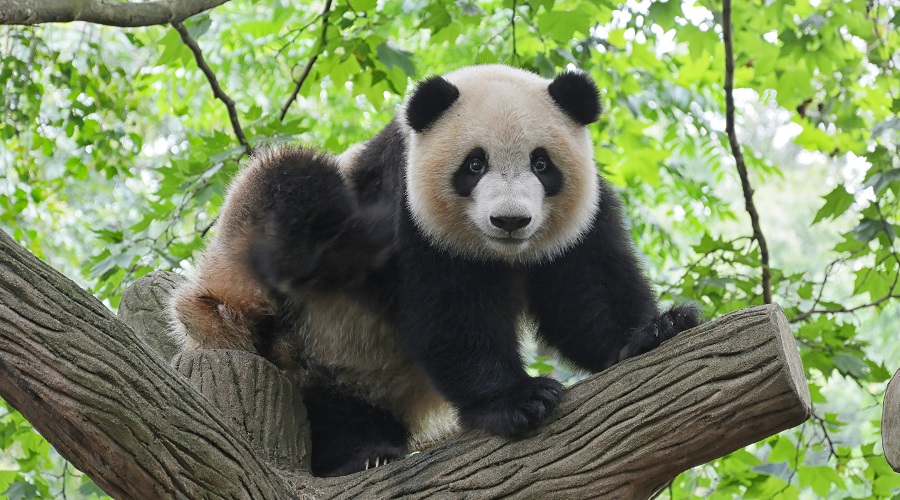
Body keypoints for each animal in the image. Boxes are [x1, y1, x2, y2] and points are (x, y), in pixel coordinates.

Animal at [169, 64, 702, 477]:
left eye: (542, 163)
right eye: (474, 165)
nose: (511, 221)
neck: (501, 254)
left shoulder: (579, 221)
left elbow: (586, 295)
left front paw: (654, 330)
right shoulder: (409, 214)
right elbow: (450, 313)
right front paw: (518, 399)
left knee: (341, 409)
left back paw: (366, 449)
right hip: (266, 299)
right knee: (289, 181)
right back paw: (359, 457)